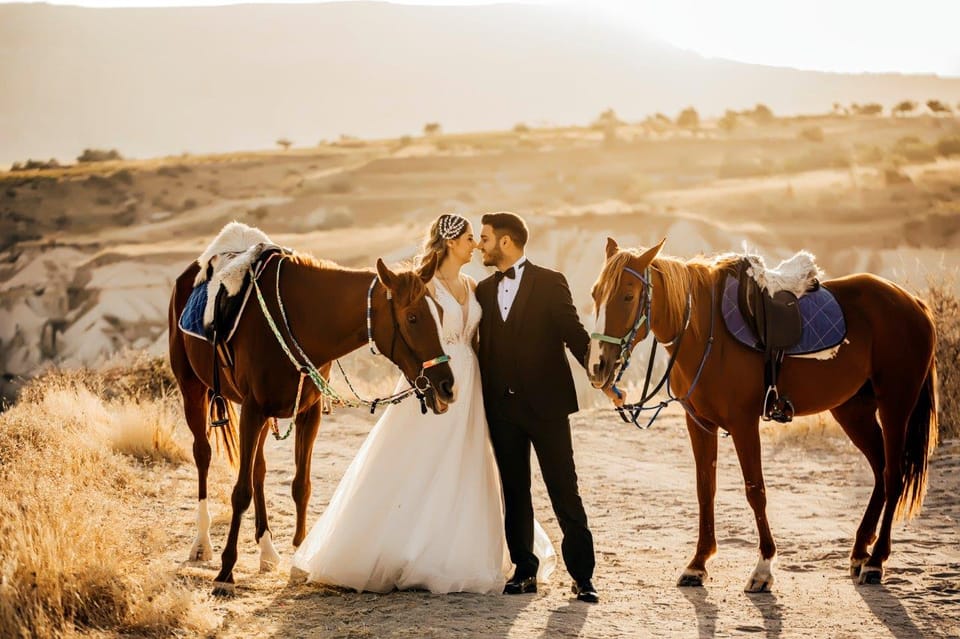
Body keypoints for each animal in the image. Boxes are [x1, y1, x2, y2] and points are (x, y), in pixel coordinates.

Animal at [170, 251, 458, 596]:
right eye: (413, 317)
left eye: (440, 313)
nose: (446, 386)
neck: (302, 319)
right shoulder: (253, 410)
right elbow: (240, 492)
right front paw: (226, 572)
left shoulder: (308, 414)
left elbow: (300, 486)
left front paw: (299, 559)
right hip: (193, 389)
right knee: (203, 454)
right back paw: (202, 543)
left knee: (258, 470)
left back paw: (266, 549)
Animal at [584, 238, 936, 592]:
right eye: (595, 293)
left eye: (628, 296)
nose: (598, 367)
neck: (706, 334)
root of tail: (913, 303)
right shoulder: (700, 425)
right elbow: (705, 489)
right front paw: (698, 564)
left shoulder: (743, 424)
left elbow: (755, 490)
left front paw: (763, 567)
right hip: (853, 411)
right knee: (880, 470)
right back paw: (860, 552)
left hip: (895, 407)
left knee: (893, 476)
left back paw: (876, 562)